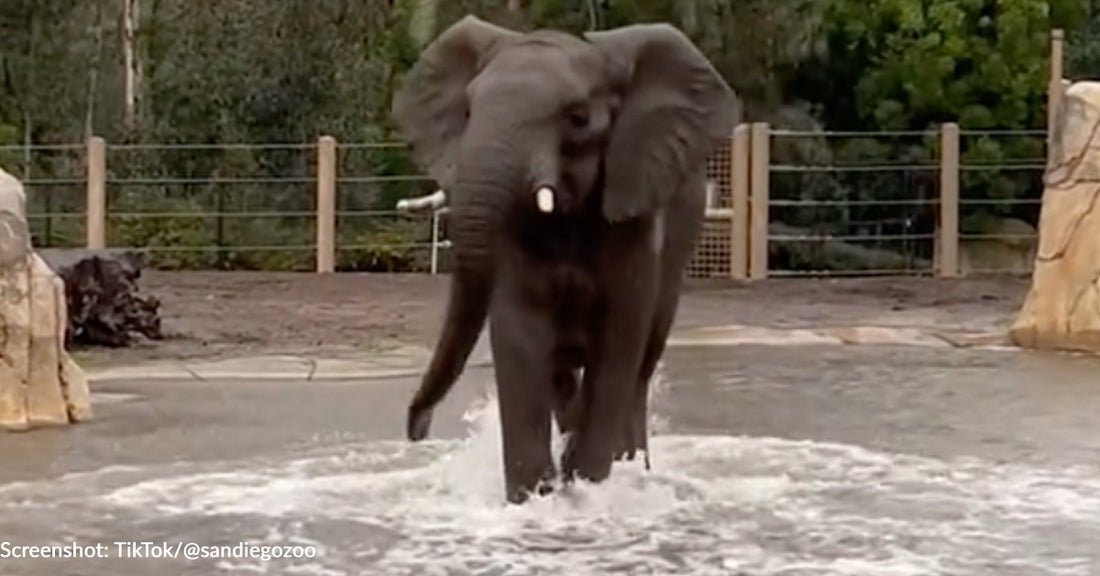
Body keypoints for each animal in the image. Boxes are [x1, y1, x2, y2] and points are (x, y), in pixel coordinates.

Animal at [391, 11, 734, 501]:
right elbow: (520, 329)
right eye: (468, 112)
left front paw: (586, 488)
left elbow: (619, 338)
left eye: (577, 119)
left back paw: (631, 464)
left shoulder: (632, 204)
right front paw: (537, 497)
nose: (417, 430)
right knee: (563, 373)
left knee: (641, 364)